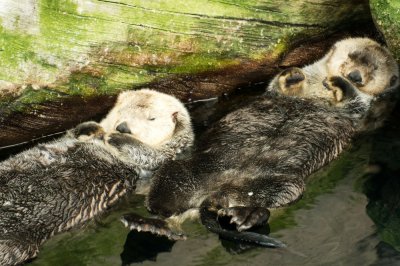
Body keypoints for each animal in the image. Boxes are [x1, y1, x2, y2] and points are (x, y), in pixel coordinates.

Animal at [0, 89, 194, 264]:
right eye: (121, 111)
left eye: (151, 118)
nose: (123, 127)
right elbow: (71, 134)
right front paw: (91, 127)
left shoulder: (165, 157)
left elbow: (150, 155)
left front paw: (118, 138)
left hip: (16, 242)